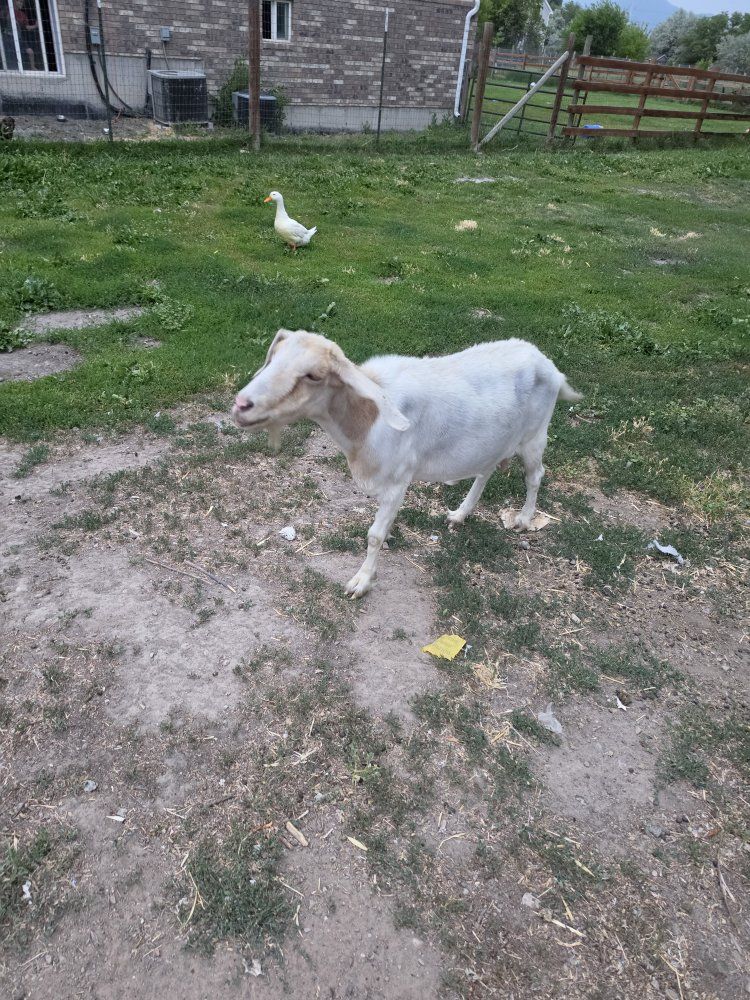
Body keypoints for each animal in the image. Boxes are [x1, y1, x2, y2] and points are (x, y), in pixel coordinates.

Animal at [232, 330, 581, 598]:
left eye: (314, 376)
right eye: (272, 358)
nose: (241, 405)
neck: (367, 421)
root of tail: (548, 364)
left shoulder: (398, 481)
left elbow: (374, 534)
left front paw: (361, 582)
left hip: (535, 434)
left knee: (535, 475)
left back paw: (523, 518)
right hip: (494, 441)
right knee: (486, 470)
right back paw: (461, 514)